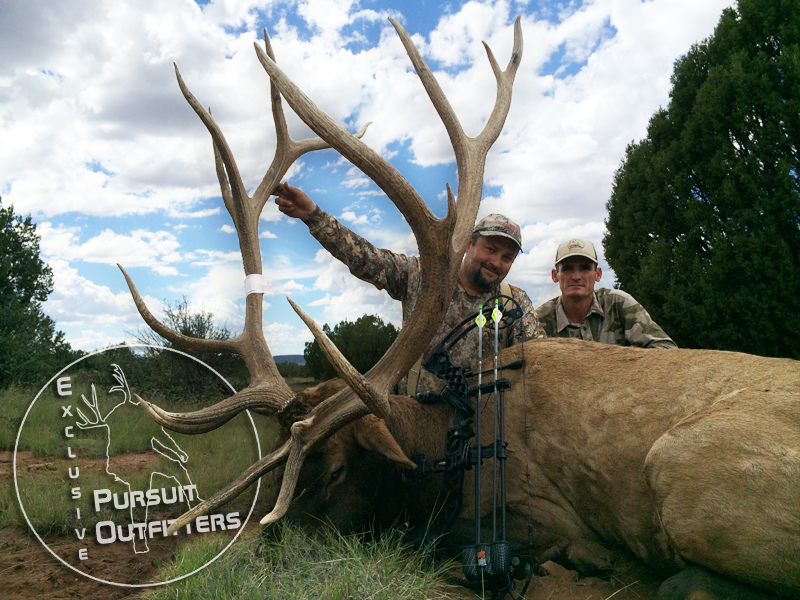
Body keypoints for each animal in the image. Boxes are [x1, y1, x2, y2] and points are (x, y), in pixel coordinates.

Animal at [120, 15, 800, 600]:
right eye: (275, 467)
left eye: (335, 470)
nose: (256, 557)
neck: (446, 439)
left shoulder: (541, 513)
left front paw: (585, 560)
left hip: (683, 470)